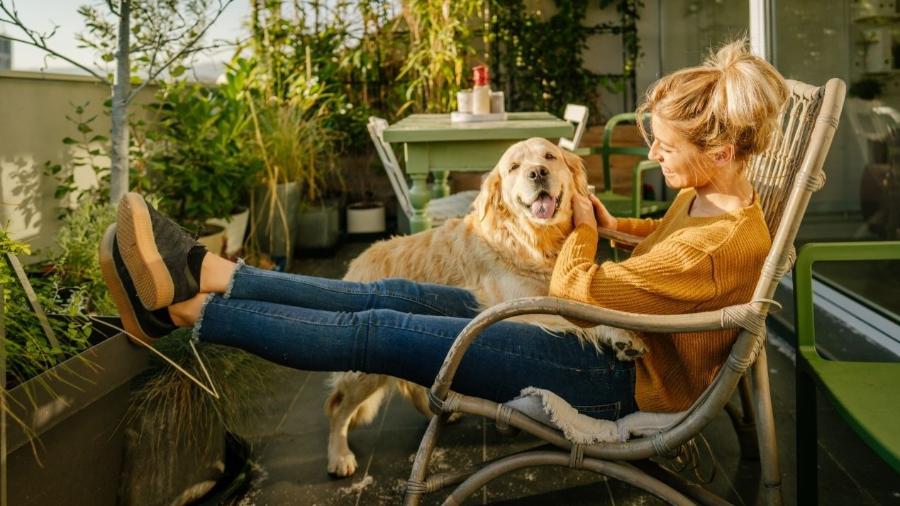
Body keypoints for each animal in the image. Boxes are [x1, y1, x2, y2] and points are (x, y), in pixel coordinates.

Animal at [322, 136, 640, 476]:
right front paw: (623, 335)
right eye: (514, 167)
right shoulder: (524, 305)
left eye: (549, 156)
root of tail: (357, 261)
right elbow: (586, 319)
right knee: (338, 408)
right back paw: (339, 456)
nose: (537, 173)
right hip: (362, 374)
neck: (533, 241)